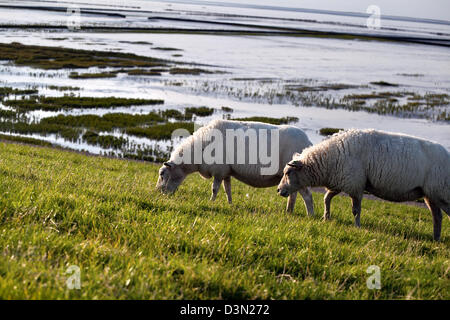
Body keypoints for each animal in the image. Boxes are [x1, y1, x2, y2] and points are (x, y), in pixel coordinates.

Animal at [156, 119, 314, 216]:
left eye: (162, 174)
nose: (158, 193)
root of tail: (309, 143)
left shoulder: (219, 171)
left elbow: (214, 189)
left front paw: (211, 202)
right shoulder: (226, 172)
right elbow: (227, 190)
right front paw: (230, 204)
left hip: (298, 174)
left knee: (307, 196)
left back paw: (310, 215)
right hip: (291, 177)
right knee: (293, 194)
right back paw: (289, 211)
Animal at [276, 129, 448, 241]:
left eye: (288, 172)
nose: (278, 190)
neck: (329, 160)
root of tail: (447, 153)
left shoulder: (356, 185)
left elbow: (355, 209)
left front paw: (357, 226)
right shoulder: (341, 182)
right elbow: (327, 198)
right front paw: (326, 217)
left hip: (442, 193)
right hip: (431, 195)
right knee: (437, 217)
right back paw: (436, 239)